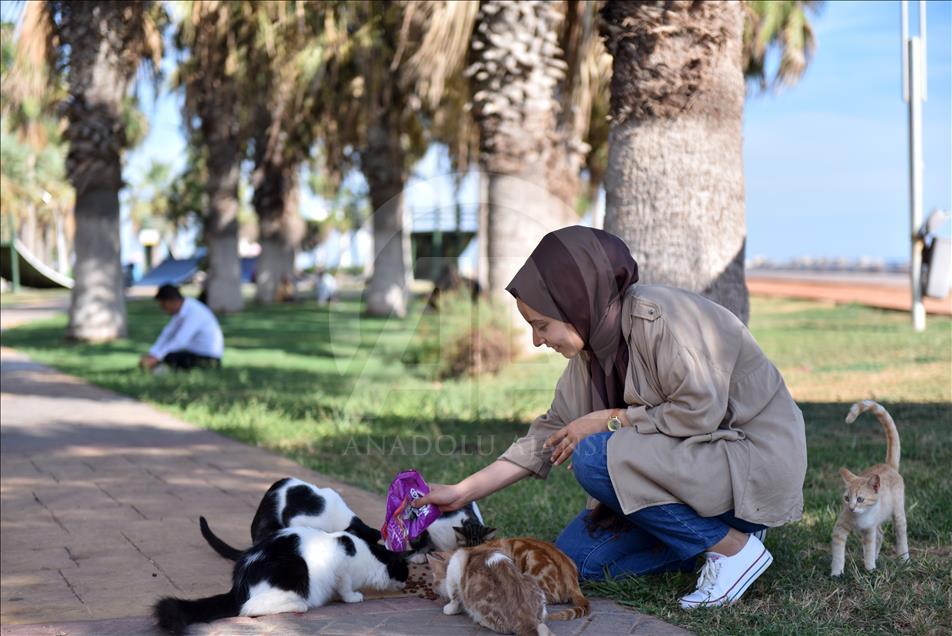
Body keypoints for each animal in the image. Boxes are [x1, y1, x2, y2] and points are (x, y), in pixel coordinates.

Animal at [154, 524, 408, 632]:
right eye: (404, 570)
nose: (406, 582)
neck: (364, 552)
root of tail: (239, 582)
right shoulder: (340, 566)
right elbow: (345, 587)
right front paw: (354, 597)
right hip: (296, 568)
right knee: (249, 608)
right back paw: (299, 605)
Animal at [428, 544, 556, 636]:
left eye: (435, 580)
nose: (433, 589)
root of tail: (527, 618)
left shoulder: (454, 576)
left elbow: (454, 597)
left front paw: (450, 608)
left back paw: (481, 621)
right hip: (532, 581)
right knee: (543, 623)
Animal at [828, 402, 912, 576]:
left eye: (860, 499)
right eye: (847, 498)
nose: (851, 507)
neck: (859, 518)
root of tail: (888, 466)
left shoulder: (869, 530)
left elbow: (868, 549)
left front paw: (870, 569)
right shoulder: (840, 529)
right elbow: (838, 553)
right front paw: (837, 573)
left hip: (898, 514)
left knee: (900, 534)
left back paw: (904, 559)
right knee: (881, 534)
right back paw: (878, 557)